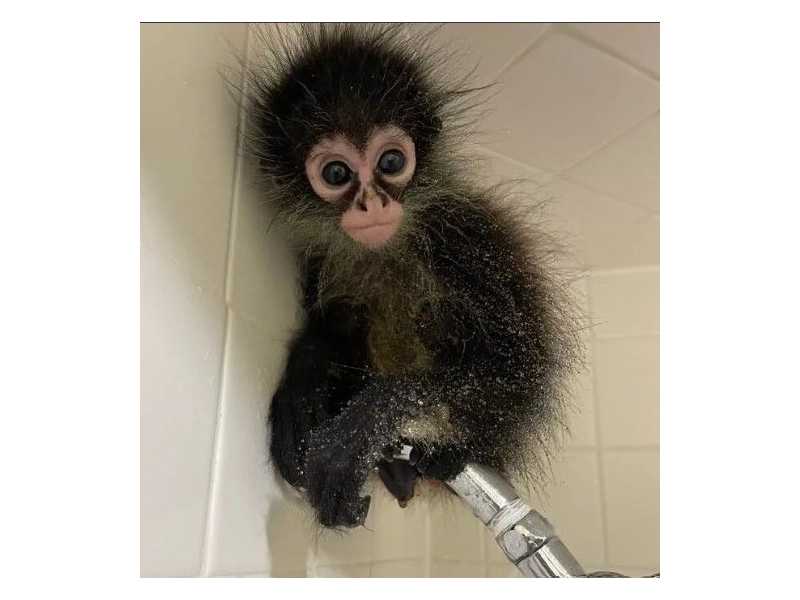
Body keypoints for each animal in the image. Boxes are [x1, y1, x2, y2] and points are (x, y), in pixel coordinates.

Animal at [241, 24, 581, 529]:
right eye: (337, 172)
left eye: (391, 163)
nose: (372, 204)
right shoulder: (323, 256)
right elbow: (331, 326)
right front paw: (301, 389)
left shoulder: (467, 239)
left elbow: (516, 370)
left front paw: (366, 423)